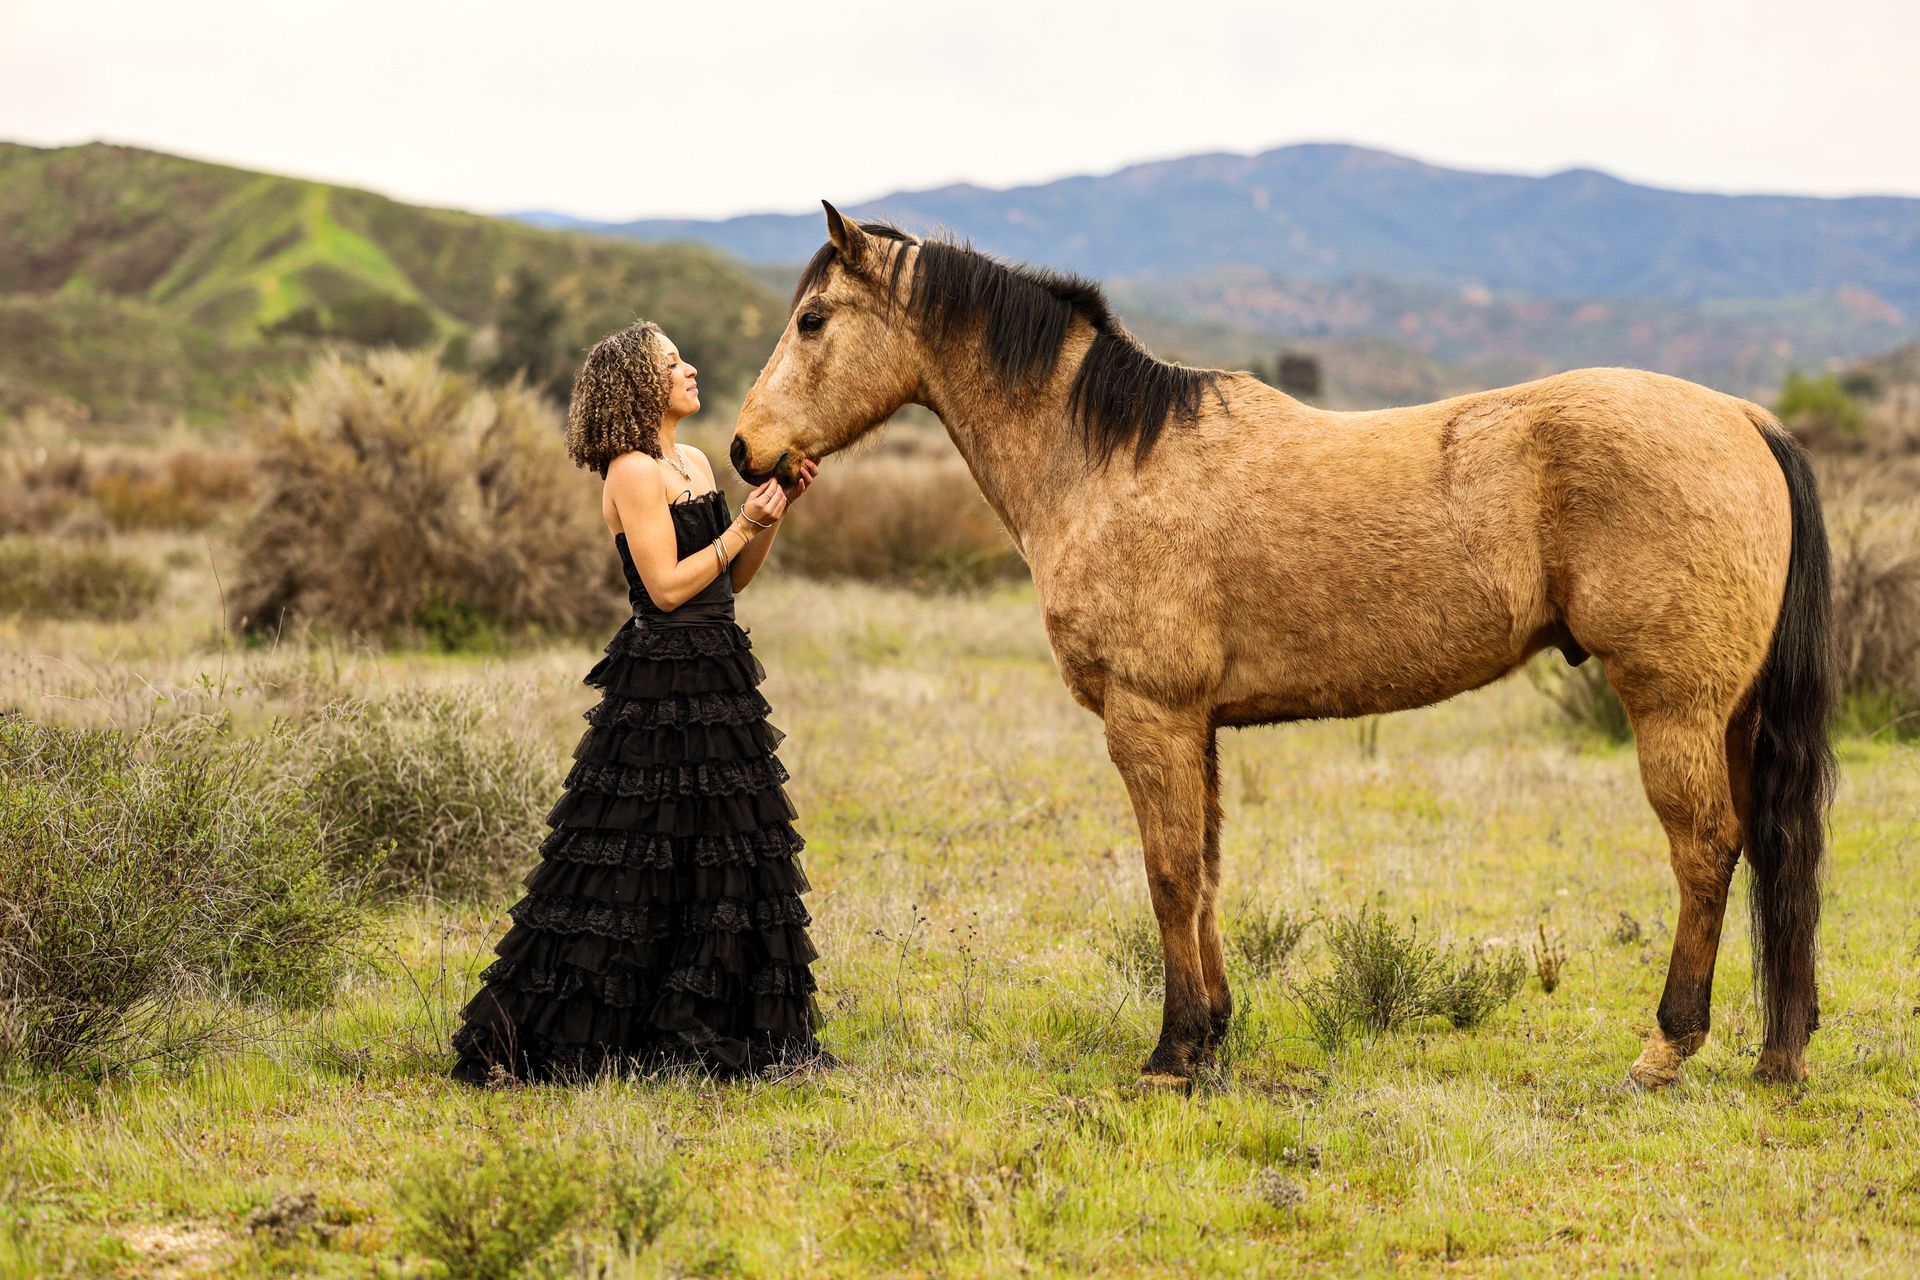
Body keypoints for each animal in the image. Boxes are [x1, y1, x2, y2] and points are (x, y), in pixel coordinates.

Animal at [730, 203, 1837, 1090]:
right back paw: (1777, 1053)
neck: (1108, 458)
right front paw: (1213, 1033)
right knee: (1770, 849)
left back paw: (1665, 1048)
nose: (745, 450)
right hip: (1731, 715)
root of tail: (1744, 418)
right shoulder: (1198, 724)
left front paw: (1174, 1054)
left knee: (1706, 849)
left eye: (813, 319)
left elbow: (1169, 874)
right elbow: (1208, 874)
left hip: (1674, 707)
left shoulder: (1149, 716)